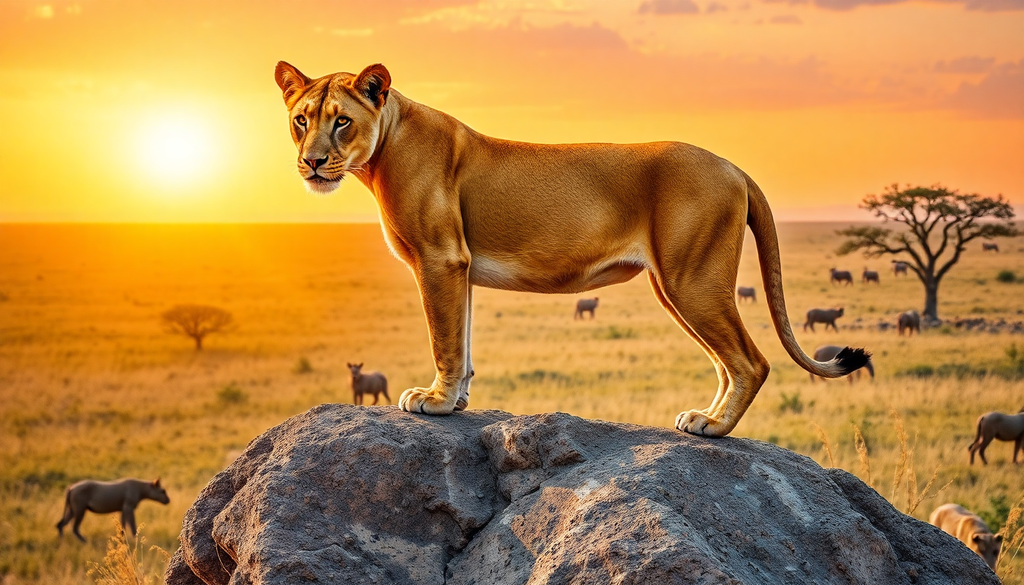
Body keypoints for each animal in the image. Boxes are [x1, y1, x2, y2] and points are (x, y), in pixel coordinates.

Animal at [273, 61, 869, 437]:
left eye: (341, 120)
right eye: (301, 119)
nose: (312, 162)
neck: (382, 149)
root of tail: (733, 165)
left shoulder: (439, 258)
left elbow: (444, 337)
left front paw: (435, 403)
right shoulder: (459, 266)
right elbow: (462, 338)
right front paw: (458, 400)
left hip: (690, 278)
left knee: (751, 360)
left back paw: (715, 426)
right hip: (677, 284)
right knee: (728, 362)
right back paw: (705, 417)